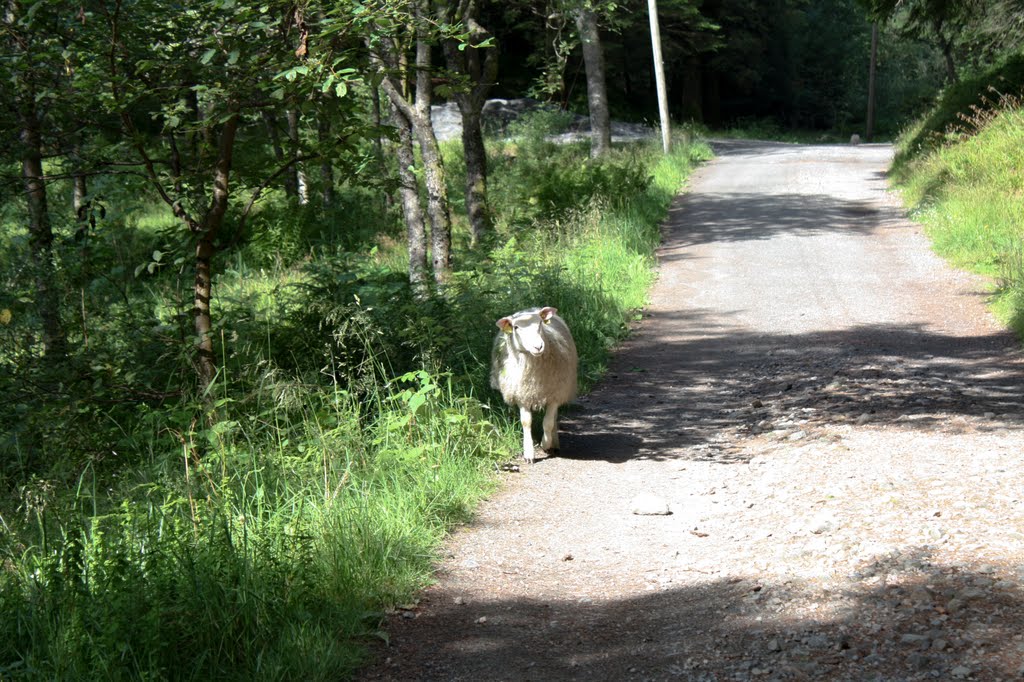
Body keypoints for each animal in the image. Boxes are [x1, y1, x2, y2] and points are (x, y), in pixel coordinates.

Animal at [487, 307, 577, 462]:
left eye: (540, 323)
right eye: (516, 327)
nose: (538, 346)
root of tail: (530, 308)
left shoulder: (555, 394)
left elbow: (548, 422)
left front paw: (545, 443)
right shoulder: (522, 394)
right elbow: (526, 422)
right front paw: (528, 453)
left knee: (553, 418)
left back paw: (554, 443)